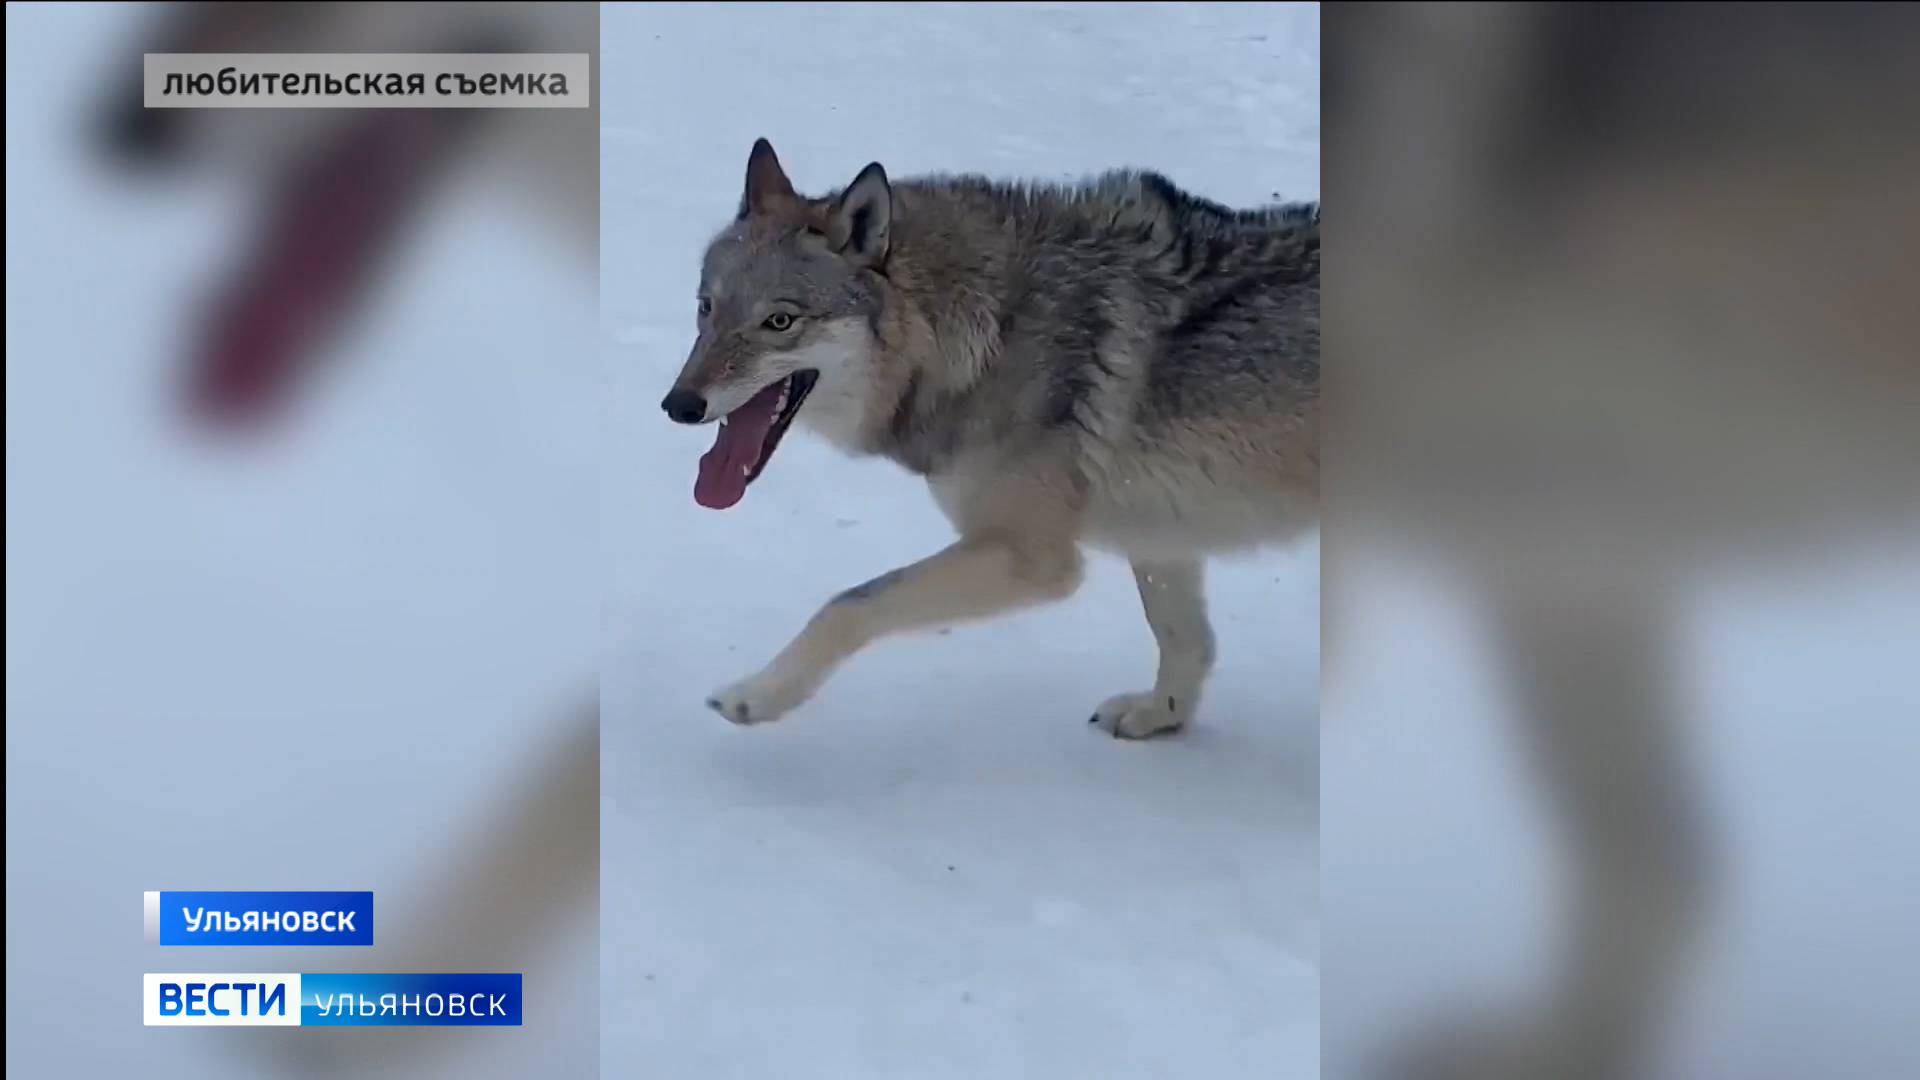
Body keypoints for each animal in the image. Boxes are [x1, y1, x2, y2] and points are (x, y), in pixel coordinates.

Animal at [664, 138, 1320, 734]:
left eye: (779, 321)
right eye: (706, 308)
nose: (678, 406)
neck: (987, 332)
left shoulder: (1031, 557)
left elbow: (848, 604)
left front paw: (757, 696)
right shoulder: (1162, 533)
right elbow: (1186, 640)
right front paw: (1161, 716)